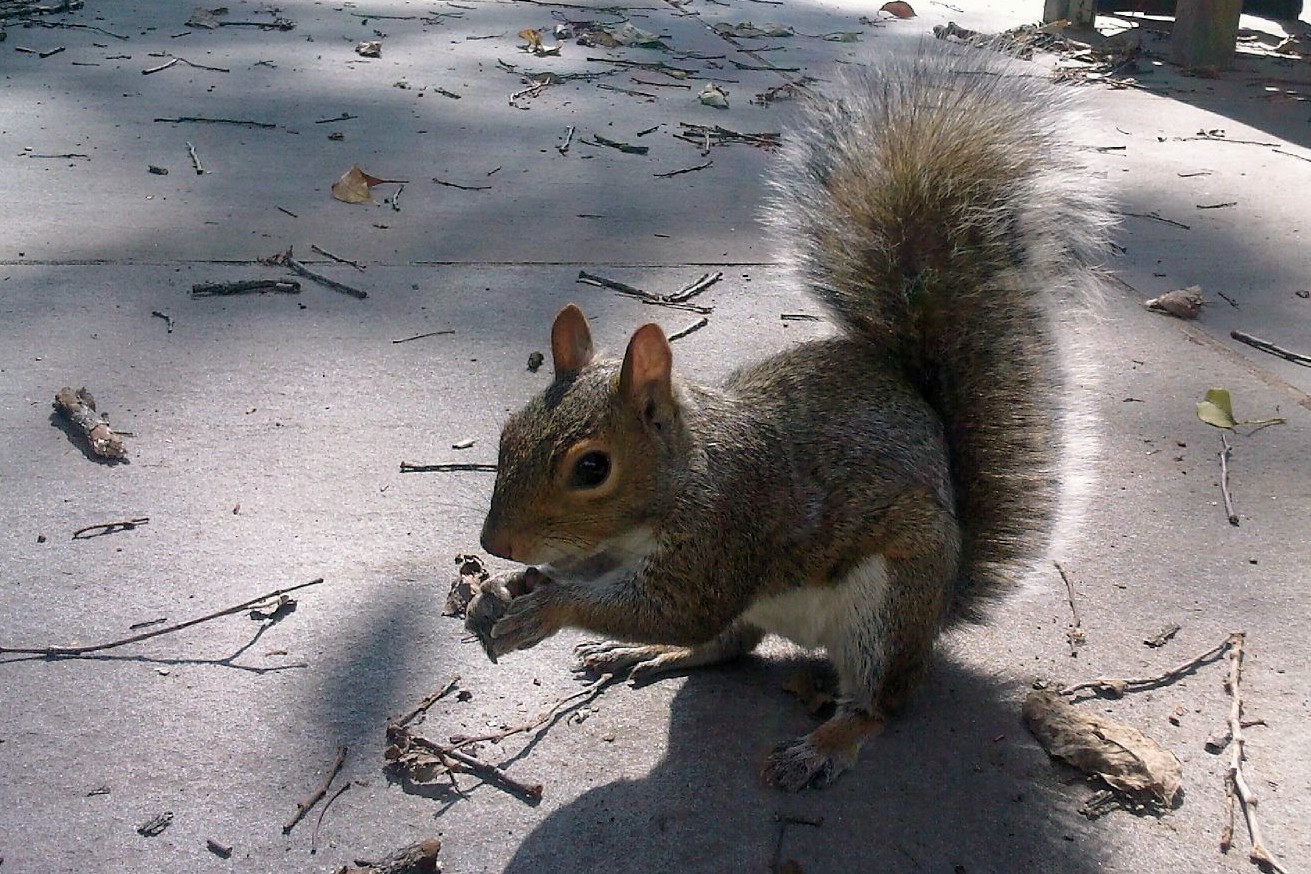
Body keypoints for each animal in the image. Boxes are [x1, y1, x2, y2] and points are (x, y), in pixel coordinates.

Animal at [468, 46, 1112, 791]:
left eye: (592, 467)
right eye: (507, 433)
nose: (496, 544)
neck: (683, 478)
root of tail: (942, 602)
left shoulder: (725, 531)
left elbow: (677, 605)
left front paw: (546, 606)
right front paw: (512, 588)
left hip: (886, 608)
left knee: (877, 701)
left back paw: (824, 744)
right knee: (727, 643)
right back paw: (651, 656)